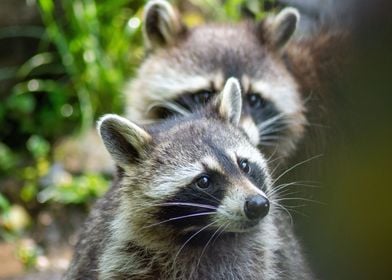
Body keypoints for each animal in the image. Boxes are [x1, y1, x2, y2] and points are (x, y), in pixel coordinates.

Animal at [65, 79, 316, 280]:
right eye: (203, 181)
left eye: (244, 165)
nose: (258, 205)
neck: (205, 235)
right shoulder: (123, 256)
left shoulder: (262, 258)